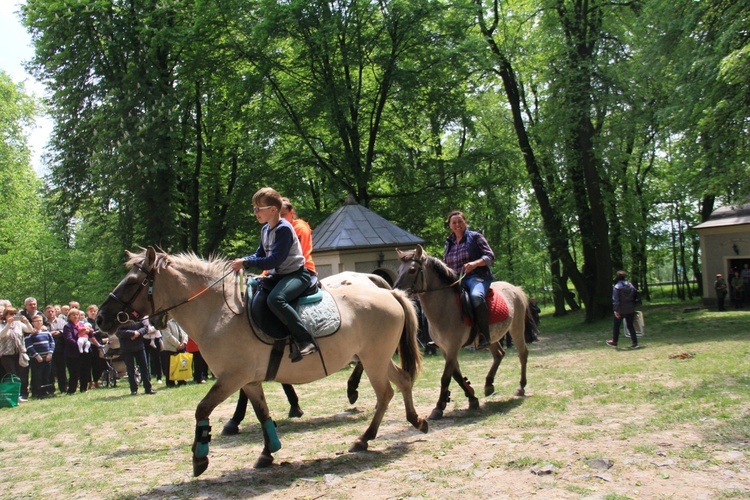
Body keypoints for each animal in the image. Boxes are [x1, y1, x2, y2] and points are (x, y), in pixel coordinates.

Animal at [95, 246, 428, 476]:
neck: (219, 313)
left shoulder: (232, 378)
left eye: (132, 282)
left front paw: (200, 456)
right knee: (402, 381)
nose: (100, 318)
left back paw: (365, 437)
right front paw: (269, 451)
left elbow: (203, 408)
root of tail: (390, 292)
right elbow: (262, 412)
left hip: (373, 359)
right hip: (378, 357)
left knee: (385, 393)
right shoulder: (249, 380)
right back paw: (415, 420)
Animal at [394, 245, 536, 418]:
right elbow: (456, 374)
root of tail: (515, 288)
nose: (396, 291)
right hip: (492, 336)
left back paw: (521, 387)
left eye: (412, 270)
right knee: (499, 354)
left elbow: (446, 377)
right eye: (399, 270)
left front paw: (439, 407)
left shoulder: (453, 347)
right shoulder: (445, 348)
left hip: (516, 329)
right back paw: (489, 384)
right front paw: (471, 396)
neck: (445, 307)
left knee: (523, 354)